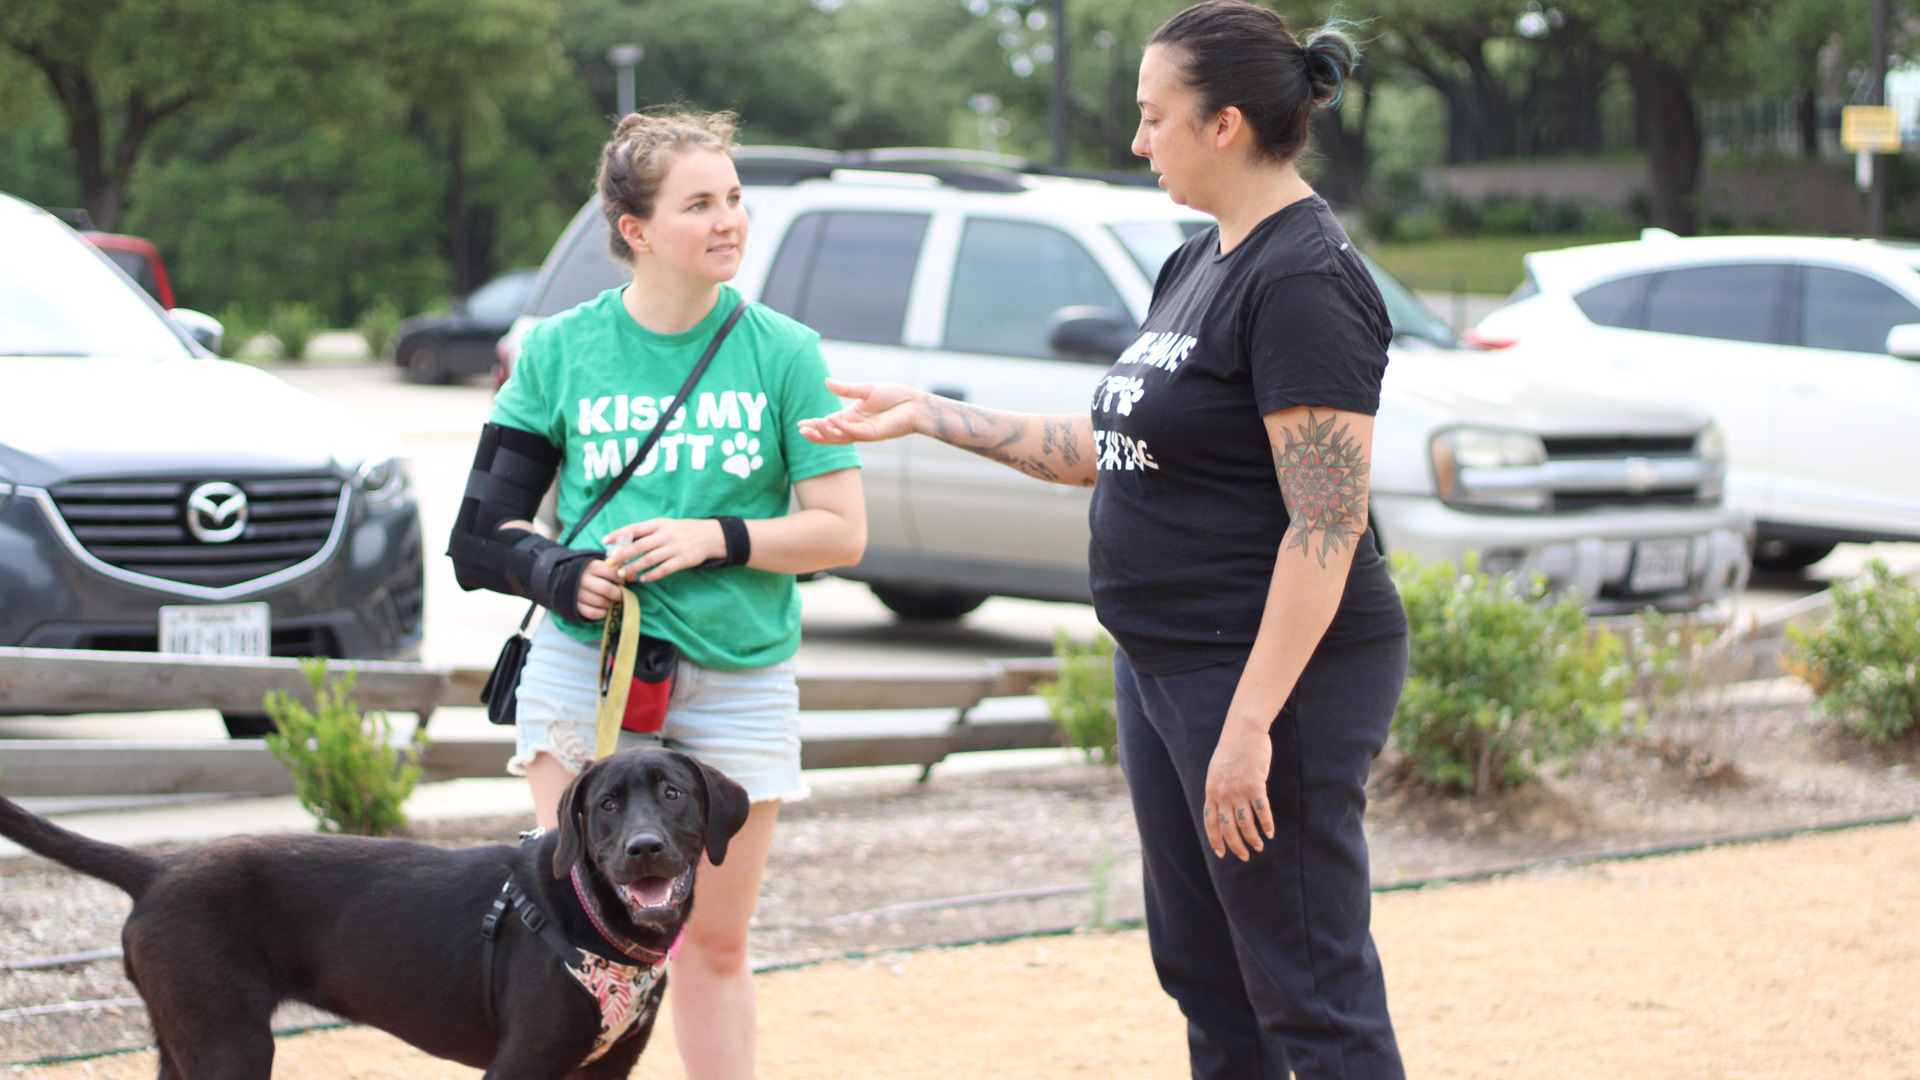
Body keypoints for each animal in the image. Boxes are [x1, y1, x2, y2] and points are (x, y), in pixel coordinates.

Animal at [0, 745, 748, 1076]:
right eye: (607, 806)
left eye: (674, 793)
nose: (644, 850)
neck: (596, 925)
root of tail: (159, 869)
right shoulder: (520, 1065)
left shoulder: (609, 1068)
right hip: (231, 1043)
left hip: (180, 1040)